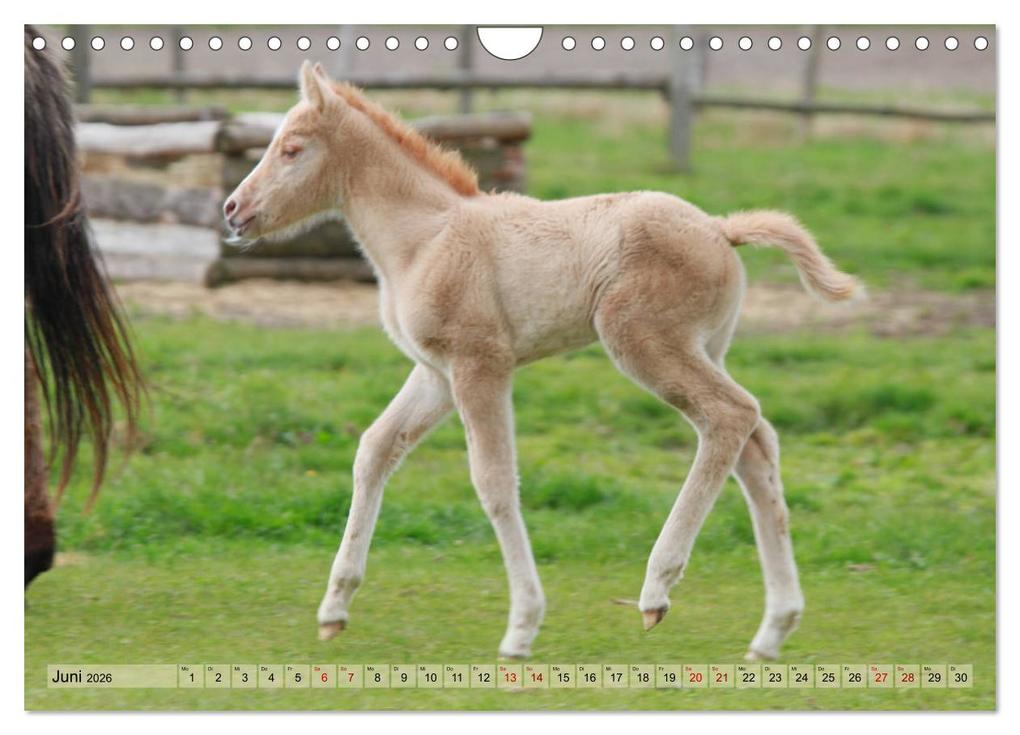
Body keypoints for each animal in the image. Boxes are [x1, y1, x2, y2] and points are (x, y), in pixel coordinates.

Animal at [223, 61, 861, 660]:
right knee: (756, 440)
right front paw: (334, 610)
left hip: (643, 342)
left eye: (292, 148)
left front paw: (521, 628)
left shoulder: (480, 364)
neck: (424, 240)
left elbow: (494, 481)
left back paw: (657, 589)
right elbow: (374, 450)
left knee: (731, 416)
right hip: (706, 346)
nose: (233, 209)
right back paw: (772, 629)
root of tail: (720, 229)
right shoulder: (435, 374)